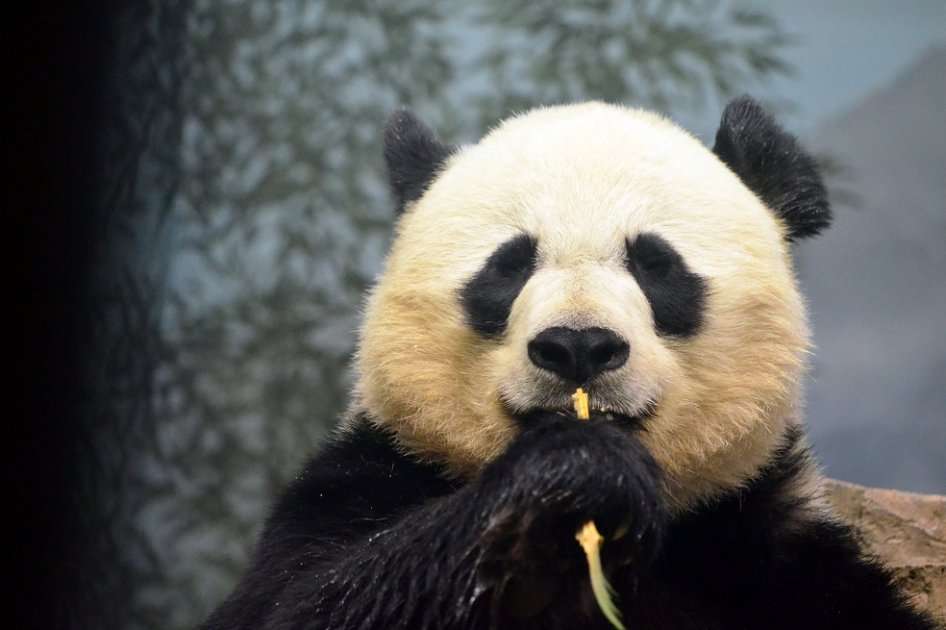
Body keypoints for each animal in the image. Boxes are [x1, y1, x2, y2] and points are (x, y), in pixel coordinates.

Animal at [202, 98, 940, 630]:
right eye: (508, 265)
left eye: (655, 264)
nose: (578, 346)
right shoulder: (369, 478)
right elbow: (307, 603)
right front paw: (577, 472)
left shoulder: (770, 555)